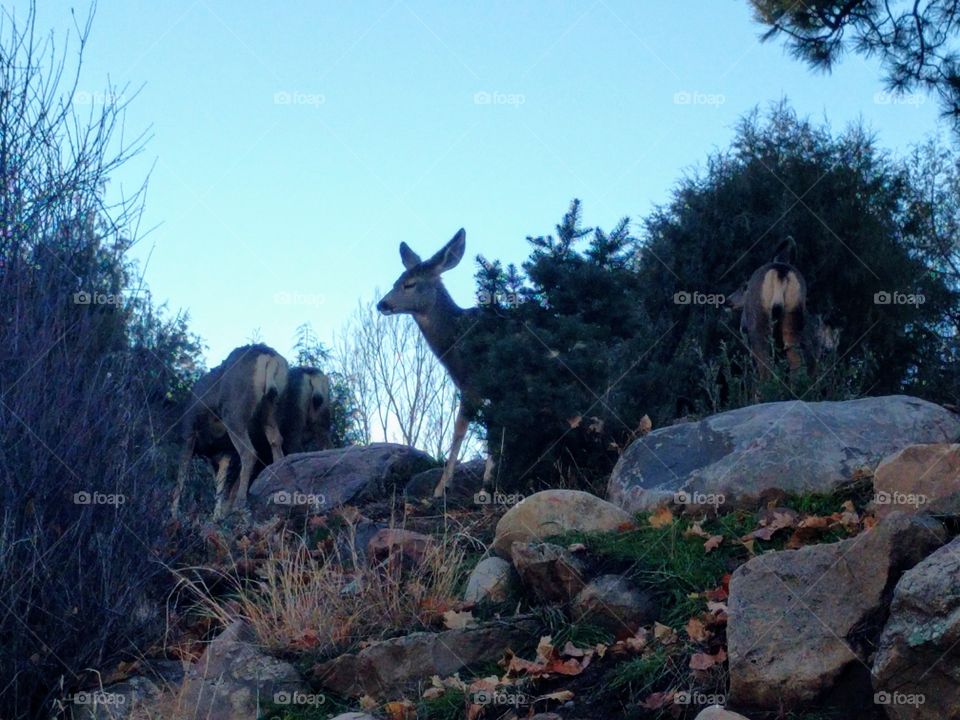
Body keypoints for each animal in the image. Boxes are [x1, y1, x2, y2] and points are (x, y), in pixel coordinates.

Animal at [173, 344, 288, 516]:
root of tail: (268, 356)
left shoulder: (189, 432)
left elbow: (182, 473)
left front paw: (173, 513)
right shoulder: (225, 450)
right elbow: (220, 483)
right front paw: (216, 515)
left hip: (234, 412)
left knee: (249, 452)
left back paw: (240, 505)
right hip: (270, 407)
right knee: (276, 441)